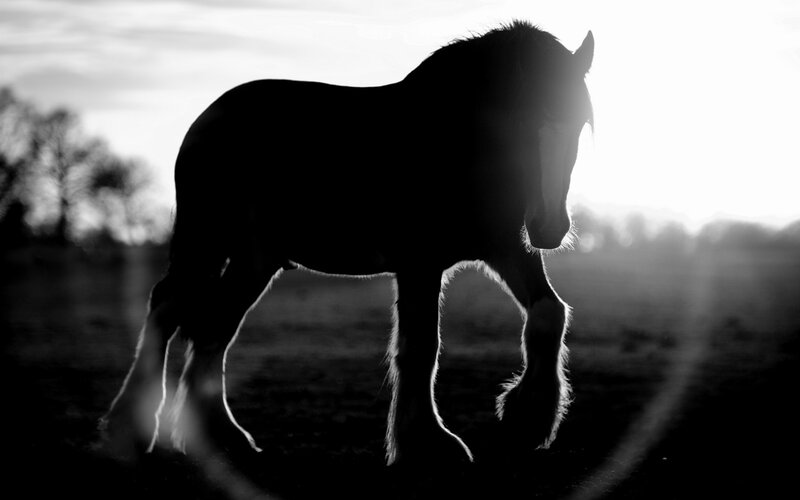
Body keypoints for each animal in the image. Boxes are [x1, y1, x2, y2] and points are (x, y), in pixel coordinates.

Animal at [100, 20, 594, 466]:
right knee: (166, 309)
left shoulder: (506, 248)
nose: (550, 227)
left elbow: (549, 313)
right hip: (204, 240)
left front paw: (527, 419)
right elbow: (420, 346)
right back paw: (132, 430)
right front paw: (427, 443)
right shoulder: (420, 262)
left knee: (214, 329)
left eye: (579, 123)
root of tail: (209, 116)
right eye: (519, 123)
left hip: (255, 260)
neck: (449, 140)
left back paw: (225, 436)